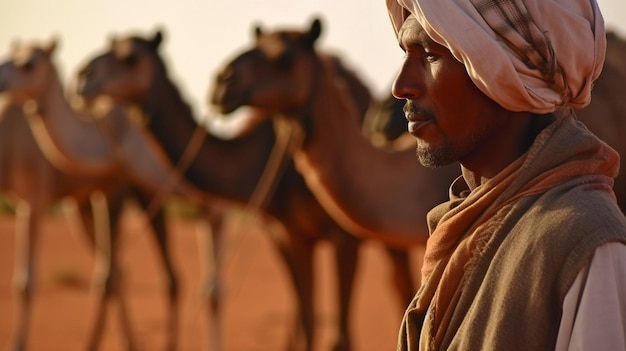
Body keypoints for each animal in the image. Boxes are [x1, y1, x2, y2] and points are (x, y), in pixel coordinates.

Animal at [0, 37, 208, 351]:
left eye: (29, 64)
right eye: (7, 57)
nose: (1, 80)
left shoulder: (35, 197)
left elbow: (25, 283)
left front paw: (19, 344)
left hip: (142, 192)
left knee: (152, 274)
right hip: (82, 206)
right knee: (120, 270)